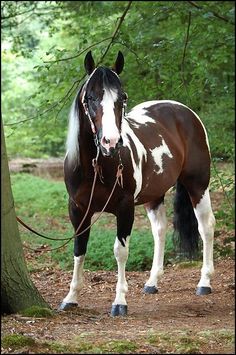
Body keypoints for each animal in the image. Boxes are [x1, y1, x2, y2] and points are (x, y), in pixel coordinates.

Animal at [59, 50, 216, 318]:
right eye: (90, 97)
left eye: (122, 98)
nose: (111, 142)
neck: (98, 165)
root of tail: (185, 112)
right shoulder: (78, 209)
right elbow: (79, 248)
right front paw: (71, 298)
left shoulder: (125, 208)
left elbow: (120, 251)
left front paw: (120, 301)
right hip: (154, 196)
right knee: (160, 230)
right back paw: (152, 282)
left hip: (198, 186)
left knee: (206, 226)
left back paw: (204, 283)